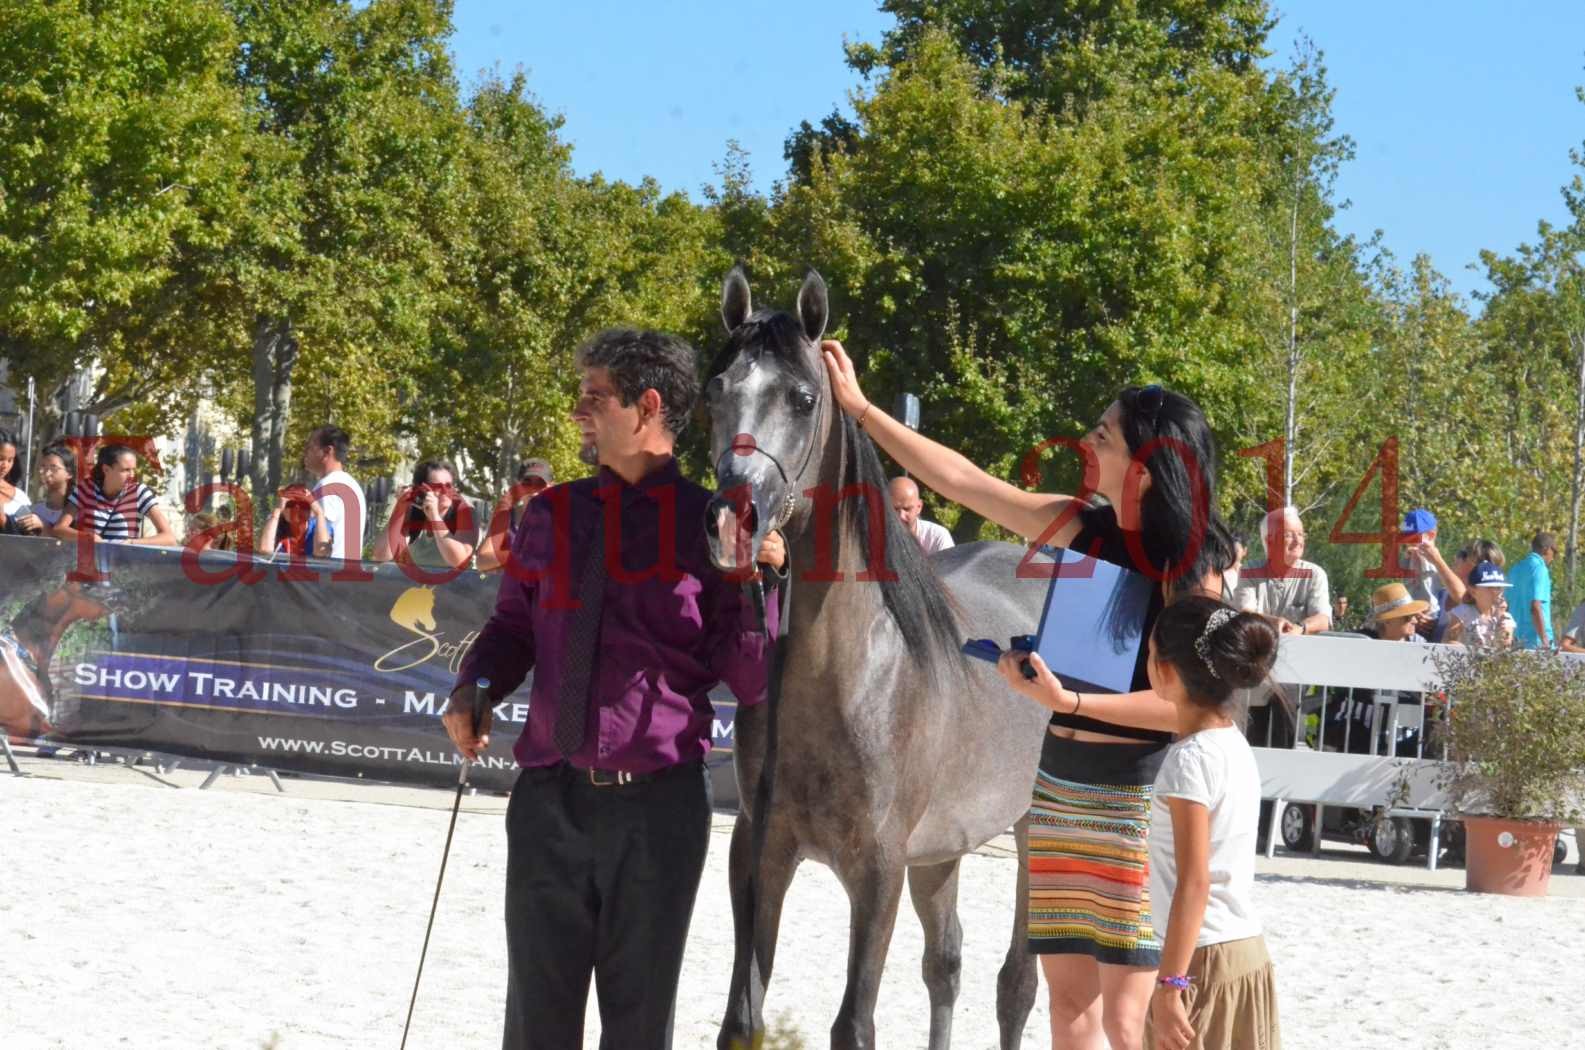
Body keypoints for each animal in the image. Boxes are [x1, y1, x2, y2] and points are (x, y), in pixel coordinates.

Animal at [703, 268, 1052, 1046]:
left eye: (803, 398)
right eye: (717, 387)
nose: (734, 521)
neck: (848, 677)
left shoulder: (879, 868)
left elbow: (854, 1024)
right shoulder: (758, 851)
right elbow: (742, 1015)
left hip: (1032, 830)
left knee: (1015, 985)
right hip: (943, 849)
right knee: (945, 964)